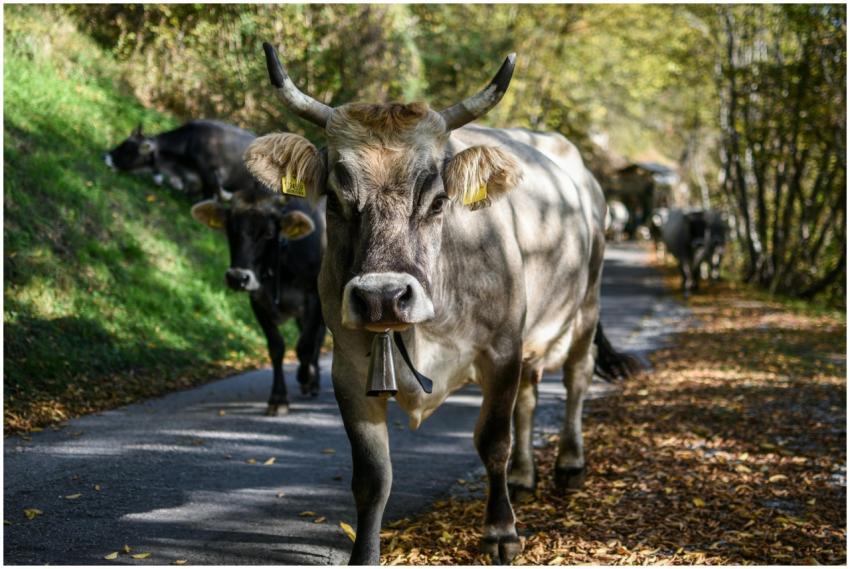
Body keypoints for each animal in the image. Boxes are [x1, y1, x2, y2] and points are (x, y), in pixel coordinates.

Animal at [191, 187, 327, 415]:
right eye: (230, 230)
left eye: (269, 234)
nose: (237, 277)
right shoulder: (258, 300)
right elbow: (277, 347)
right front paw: (278, 399)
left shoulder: (315, 297)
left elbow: (306, 345)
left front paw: (305, 375)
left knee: (318, 338)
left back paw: (312, 380)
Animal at [243, 43, 637, 564]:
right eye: (335, 198)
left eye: (436, 200)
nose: (382, 296)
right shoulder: (348, 368)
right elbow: (372, 476)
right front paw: (365, 554)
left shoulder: (501, 350)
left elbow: (493, 441)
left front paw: (501, 532)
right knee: (531, 396)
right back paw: (523, 476)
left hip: (585, 303)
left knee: (576, 375)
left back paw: (569, 465)